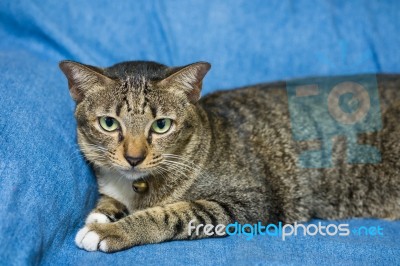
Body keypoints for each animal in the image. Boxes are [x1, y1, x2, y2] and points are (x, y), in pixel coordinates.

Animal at [59, 59, 400, 252]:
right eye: (108, 123)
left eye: (161, 125)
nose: (133, 158)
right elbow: (109, 200)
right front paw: (102, 213)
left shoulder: (250, 200)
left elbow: (172, 214)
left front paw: (110, 230)